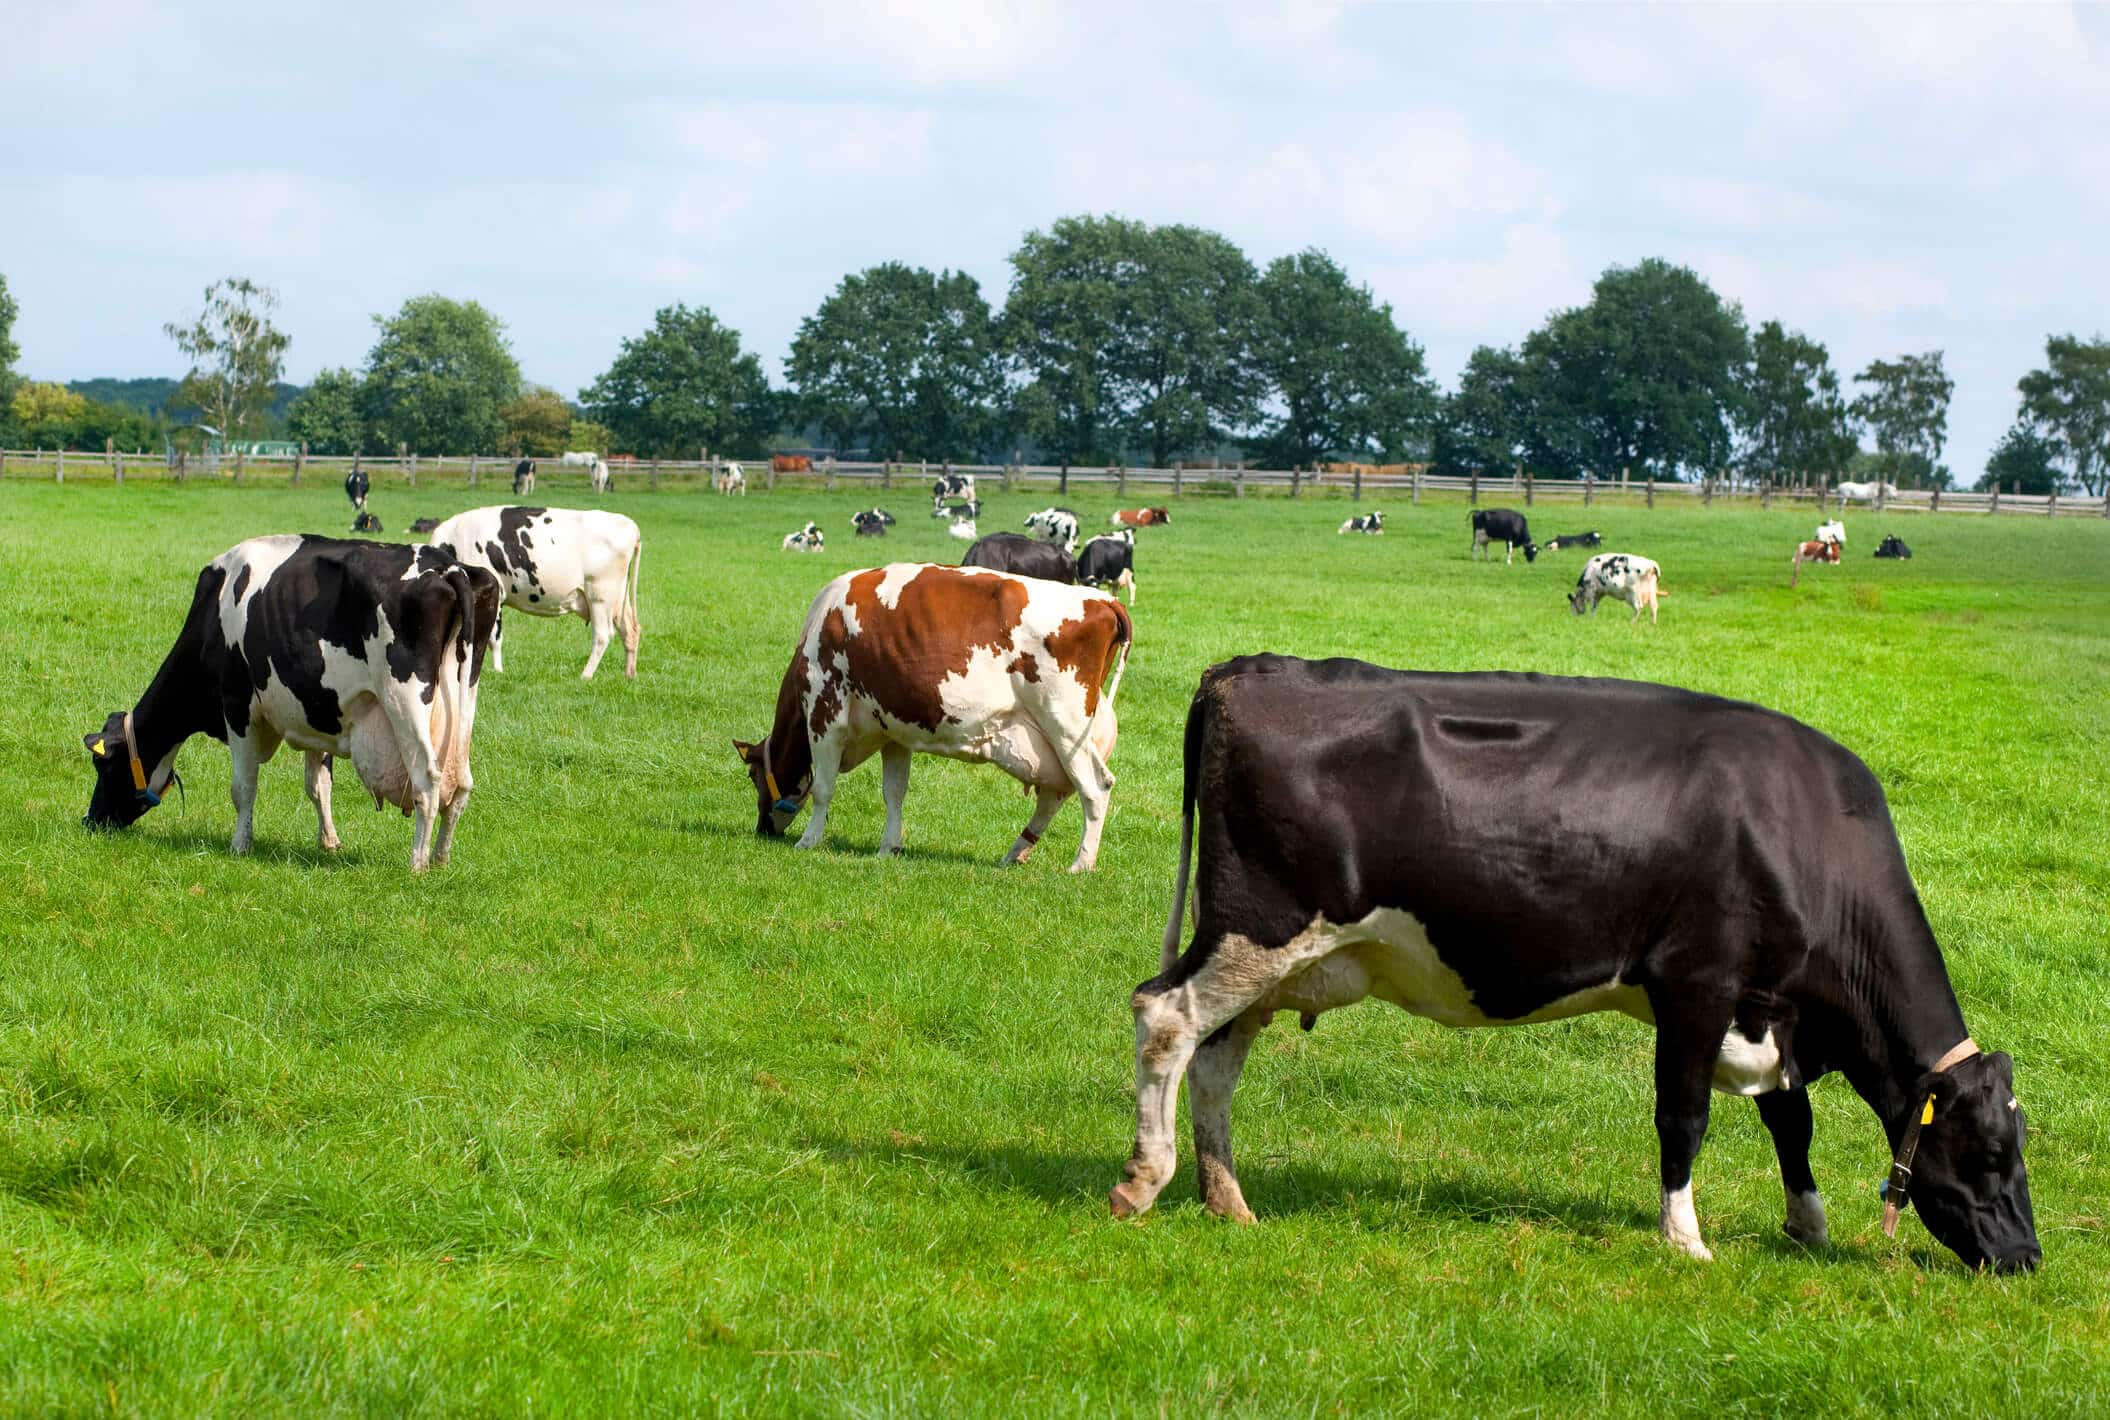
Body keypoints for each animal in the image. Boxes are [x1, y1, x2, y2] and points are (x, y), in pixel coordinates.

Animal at [82, 531, 502, 865]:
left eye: (103, 765)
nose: (92, 821)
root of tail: (449, 567)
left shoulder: (238, 708)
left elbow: (243, 786)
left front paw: (240, 845)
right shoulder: (318, 710)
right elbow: (318, 785)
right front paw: (329, 842)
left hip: (406, 698)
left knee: (427, 780)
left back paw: (418, 863)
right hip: (465, 699)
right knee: (461, 784)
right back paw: (441, 859)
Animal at [426, 504, 641, 679]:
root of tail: (630, 525)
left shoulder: (495, 595)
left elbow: (493, 638)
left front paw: (497, 672)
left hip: (600, 595)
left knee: (603, 635)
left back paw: (585, 676)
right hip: (618, 598)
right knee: (630, 630)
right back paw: (629, 675)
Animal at [742, 561, 1139, 869]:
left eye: (752, 774)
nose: (762, 829)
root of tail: (1104, 600)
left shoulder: (826, 713)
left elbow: (824, 788)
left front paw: (808, 840)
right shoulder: (893, 730)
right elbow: (894, 792)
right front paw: (889, 847)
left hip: (1065, 723)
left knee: (1095, 787)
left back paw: (1081, 863)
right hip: (1053, 739)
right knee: (1056, 793)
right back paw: (1015, 854)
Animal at [1122, 658, 2042, 1274]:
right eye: (1993, 1152)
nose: (2028, 1256)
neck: (1803, 830)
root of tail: (1248, 669)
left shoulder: (1771, 1007)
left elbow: (1792, 1121)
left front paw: (1807, 1226)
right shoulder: (1697, 983)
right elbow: (1685, 1118)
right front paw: (1685, 1238)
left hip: (1264, 957)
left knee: (1215, 1061)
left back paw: (1227, 1200)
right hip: (1254, 928)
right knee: (1165, 1017)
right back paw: (1143, 1181)